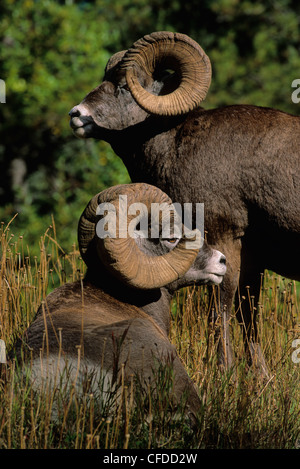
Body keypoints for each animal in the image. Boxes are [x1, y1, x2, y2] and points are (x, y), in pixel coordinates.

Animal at [69, 31, 298, 372]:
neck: (173, 144)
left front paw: (225, 372)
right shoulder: (251, 257)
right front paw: (259, 378)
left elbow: (221, 309)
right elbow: (248, 315)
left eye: (124, 85)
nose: (76, 115)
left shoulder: (224, 238)